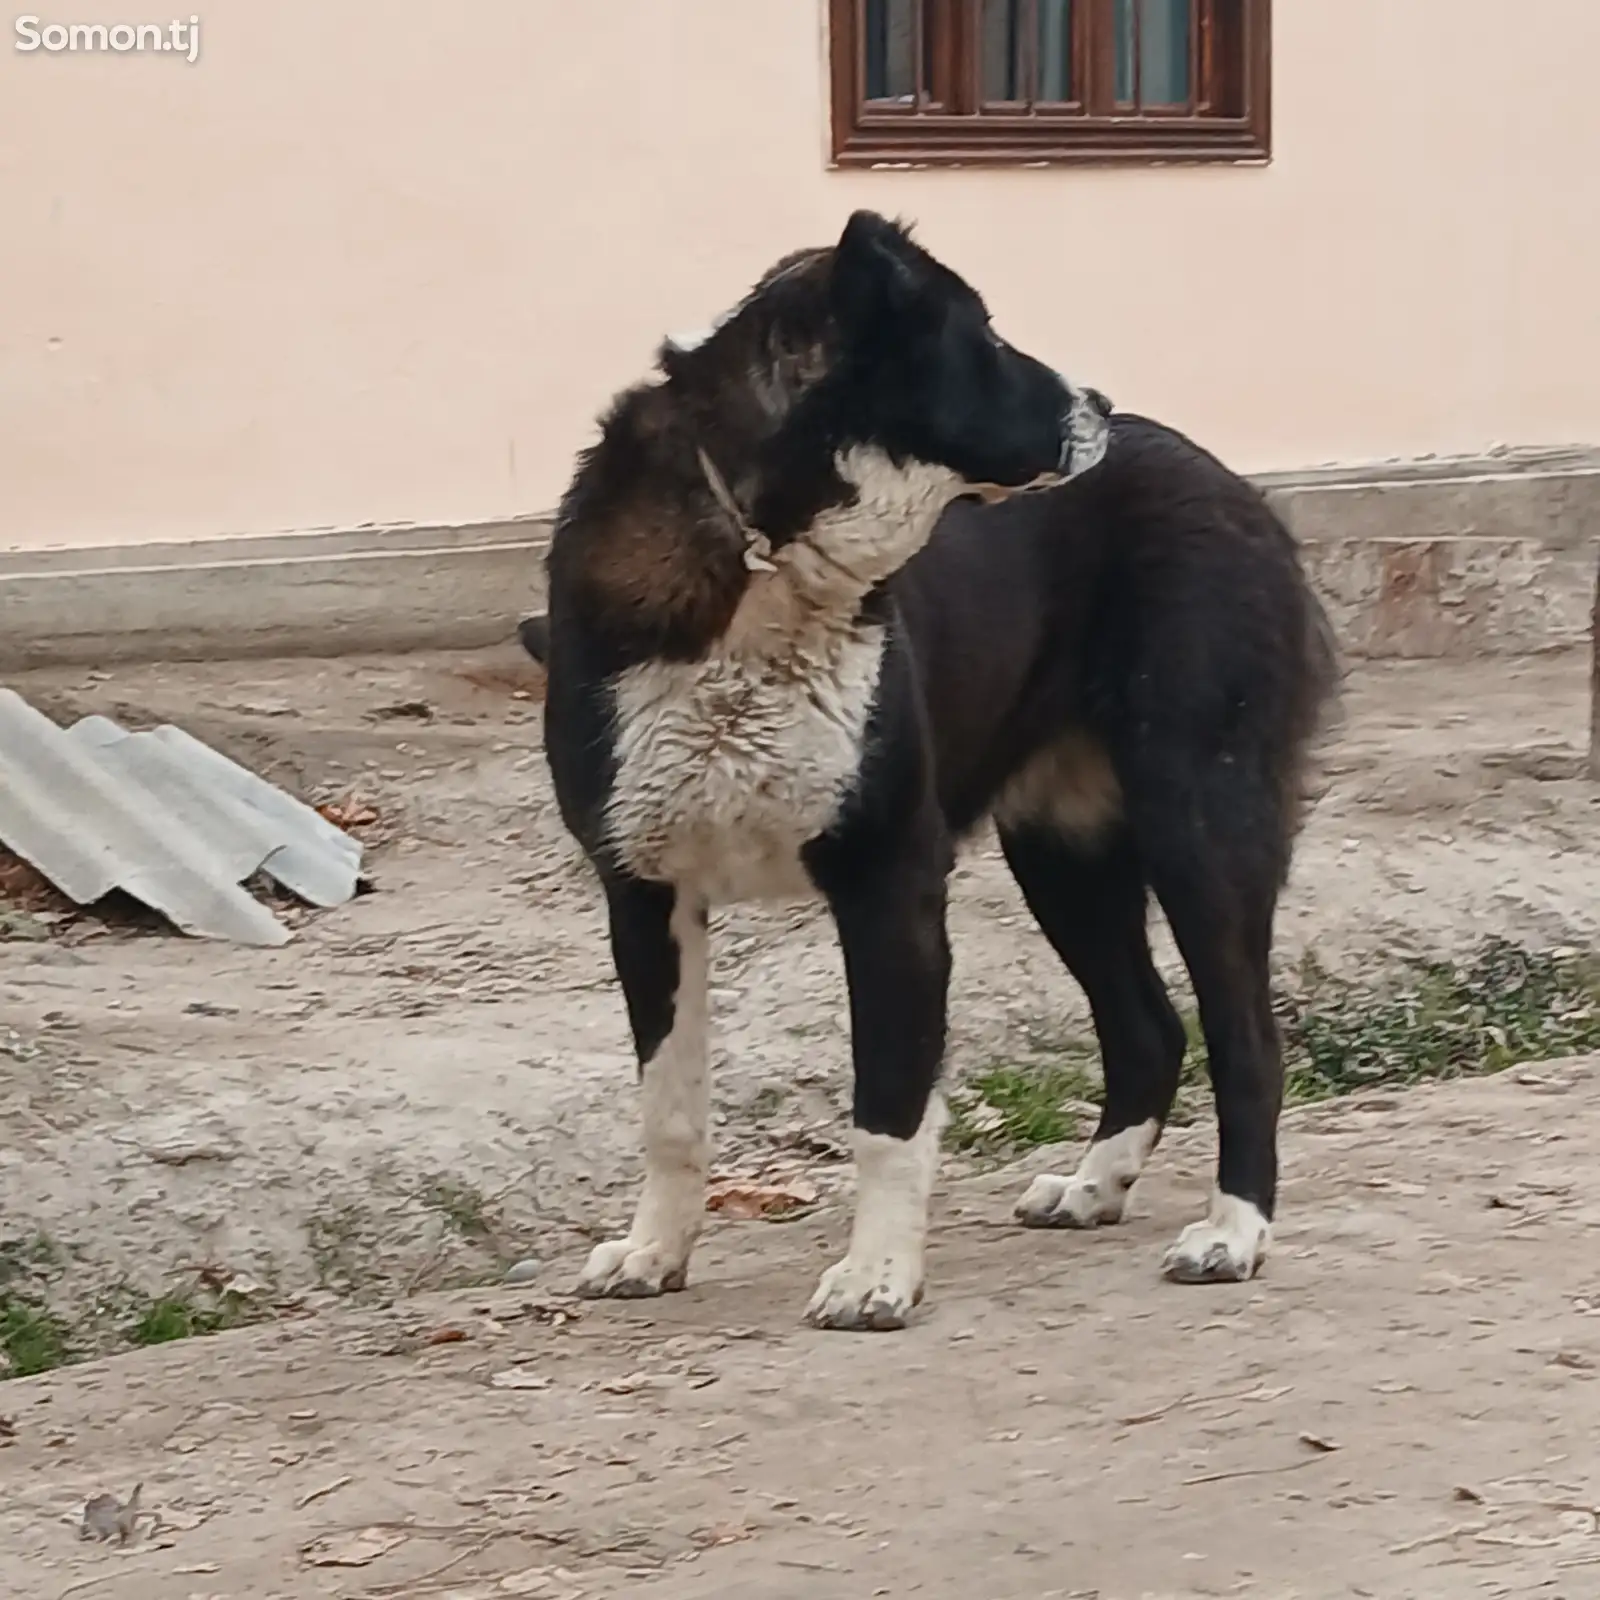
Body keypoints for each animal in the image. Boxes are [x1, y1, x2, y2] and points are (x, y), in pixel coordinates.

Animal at [534, 216, 1337, 1337]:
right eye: (985, 340)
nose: (1098, 404)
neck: (764, 553)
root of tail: (1231, 482)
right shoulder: (643, 892)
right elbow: (670, 1108)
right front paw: (656, 1250)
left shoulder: (889, 882)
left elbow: (889, 1106)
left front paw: (875, 1275)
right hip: (1063, 851)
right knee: (1148, 1026)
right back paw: (1093, 1184)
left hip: (1200, 819)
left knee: (1244, 1037)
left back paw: (1233, 1230)